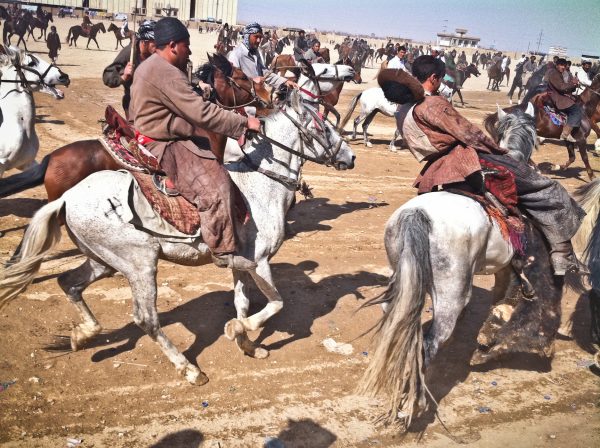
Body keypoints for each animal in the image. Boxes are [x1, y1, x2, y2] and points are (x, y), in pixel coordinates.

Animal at [0, 90, 356, 384]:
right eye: (324, 127)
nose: (350, 157)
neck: (259, 185)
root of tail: (66, 198)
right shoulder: (260, 262)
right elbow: (276, 303)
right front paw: (240, 330)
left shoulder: (241, 264)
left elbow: (241, 303)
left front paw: (247, 344)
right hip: (140, 265)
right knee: (146, 319)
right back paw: (188, 369)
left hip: (101, 260)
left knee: (69, 284)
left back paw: (84, 335)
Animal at [356, 105, 556, 428]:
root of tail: (417, 214)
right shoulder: (506, 267)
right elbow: (506, 292)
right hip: (449, 295)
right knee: (429, 343)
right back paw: (410, 405)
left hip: (402, 278)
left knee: (397, 322)